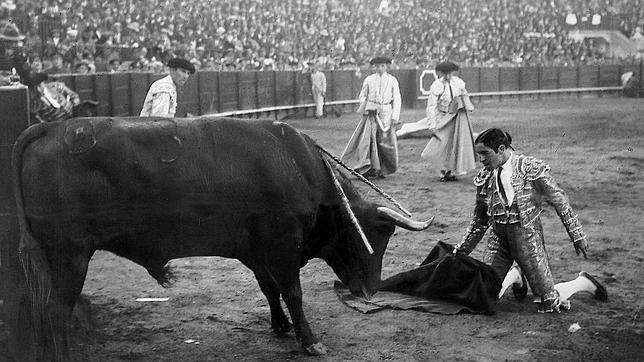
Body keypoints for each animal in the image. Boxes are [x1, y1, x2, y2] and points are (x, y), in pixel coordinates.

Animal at [10, 116, 432, 360]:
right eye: (382, 232)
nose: (371, 289)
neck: (300, 167)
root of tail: (51, 129)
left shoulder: (258, 252)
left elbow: (270, 290)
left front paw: (281, 327)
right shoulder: (282, 247)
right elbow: (293, 292)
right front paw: (309, 340)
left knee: (45, 310)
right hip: (70, 255)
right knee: (55, 310)